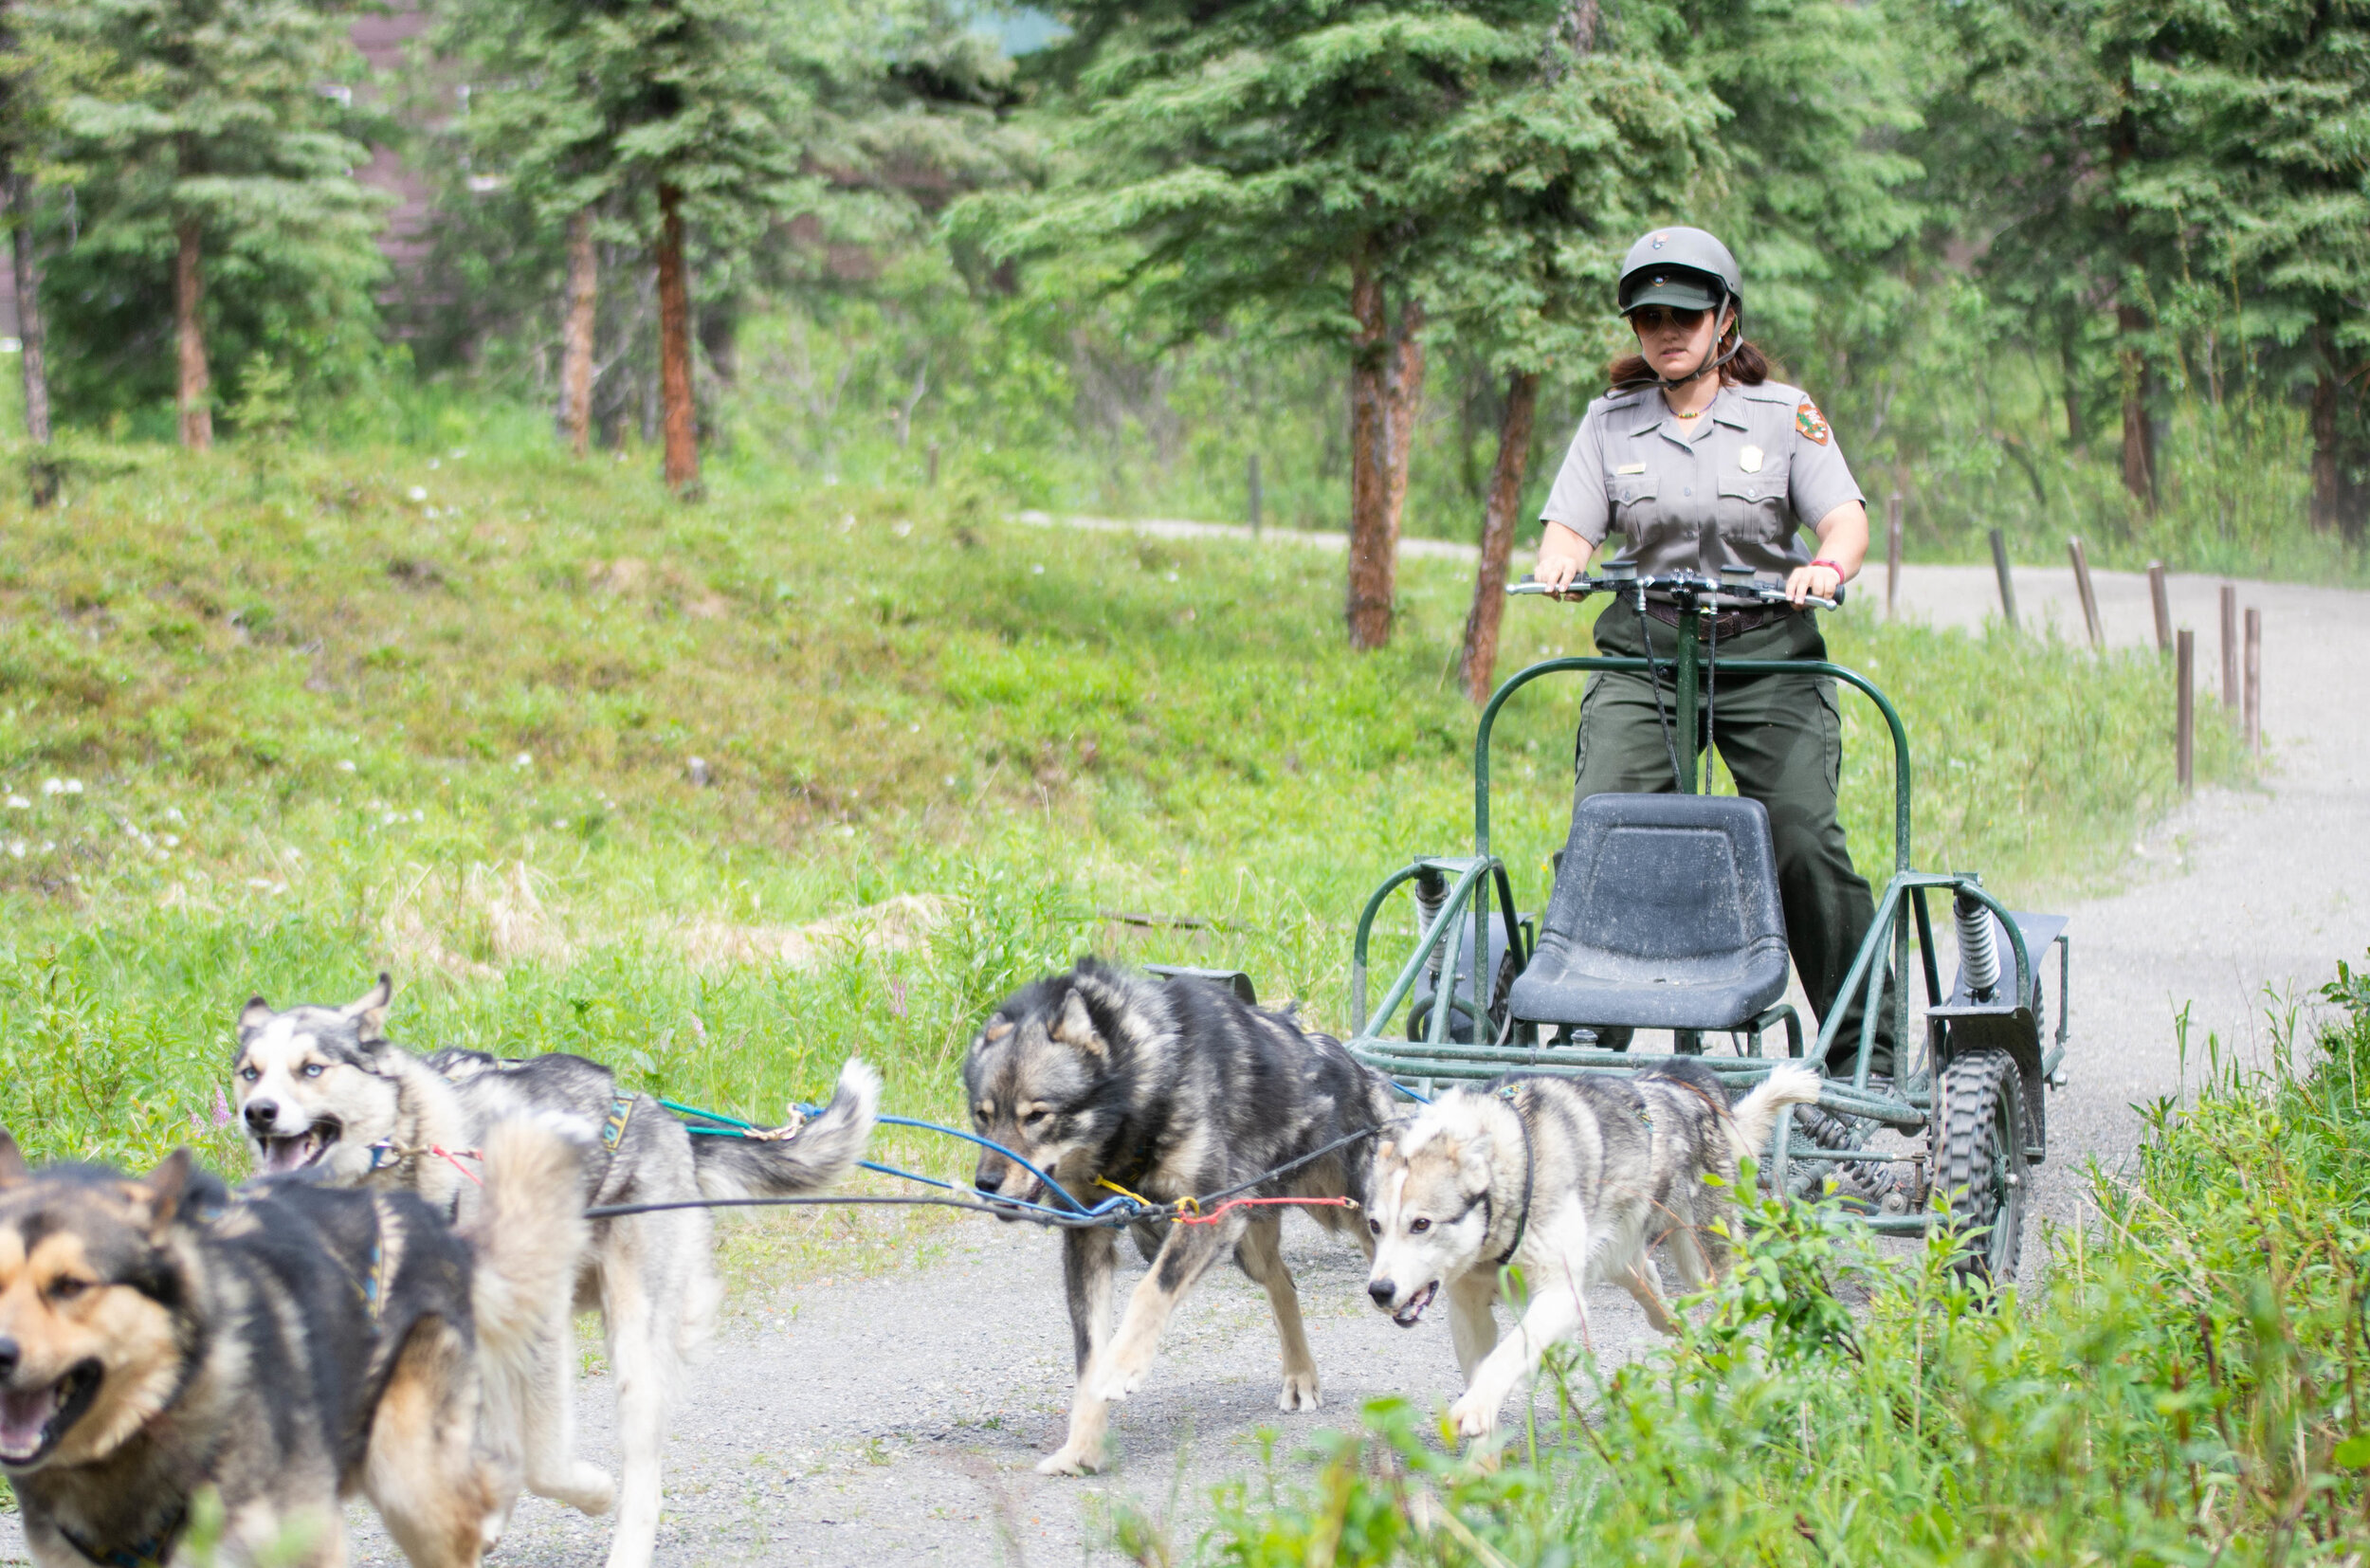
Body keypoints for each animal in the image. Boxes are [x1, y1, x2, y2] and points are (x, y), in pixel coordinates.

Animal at [228, 985, 882, 1568]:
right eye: (249, 1073)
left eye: (312, 1068)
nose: (258, 1112)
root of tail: (664, 1118)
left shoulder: (536, 1322)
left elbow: (544, 1461)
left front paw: (592, 1492)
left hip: (632, 1341)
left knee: (639, 1469)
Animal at [967, 957, 1403, 1487]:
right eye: (983, 1116)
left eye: (1037, 1115)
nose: (986, 1183)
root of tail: (1358, 1066)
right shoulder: (1090, 1239)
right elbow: (1089, 1355)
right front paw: (1082, 1448)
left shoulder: (1204, 1215)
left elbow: (1149, 1291)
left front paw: (1122, 1367)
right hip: (1250, 1244)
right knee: (1283, 1284)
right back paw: (1300, 1375)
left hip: (1357, 1214)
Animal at [1365, 1061, 1820, 1440]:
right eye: (1375, 1225)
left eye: (1421, 1224)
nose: (1379, 1291)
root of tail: (1684, 1085)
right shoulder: (1469, 1309)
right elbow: (1482, 1371)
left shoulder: (1560, 1296)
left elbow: (1505, 1357)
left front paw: (1475, 1410)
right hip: (1616, 1257)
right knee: (1651, 1286)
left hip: (1703, 1262)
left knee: (1725, 1309)